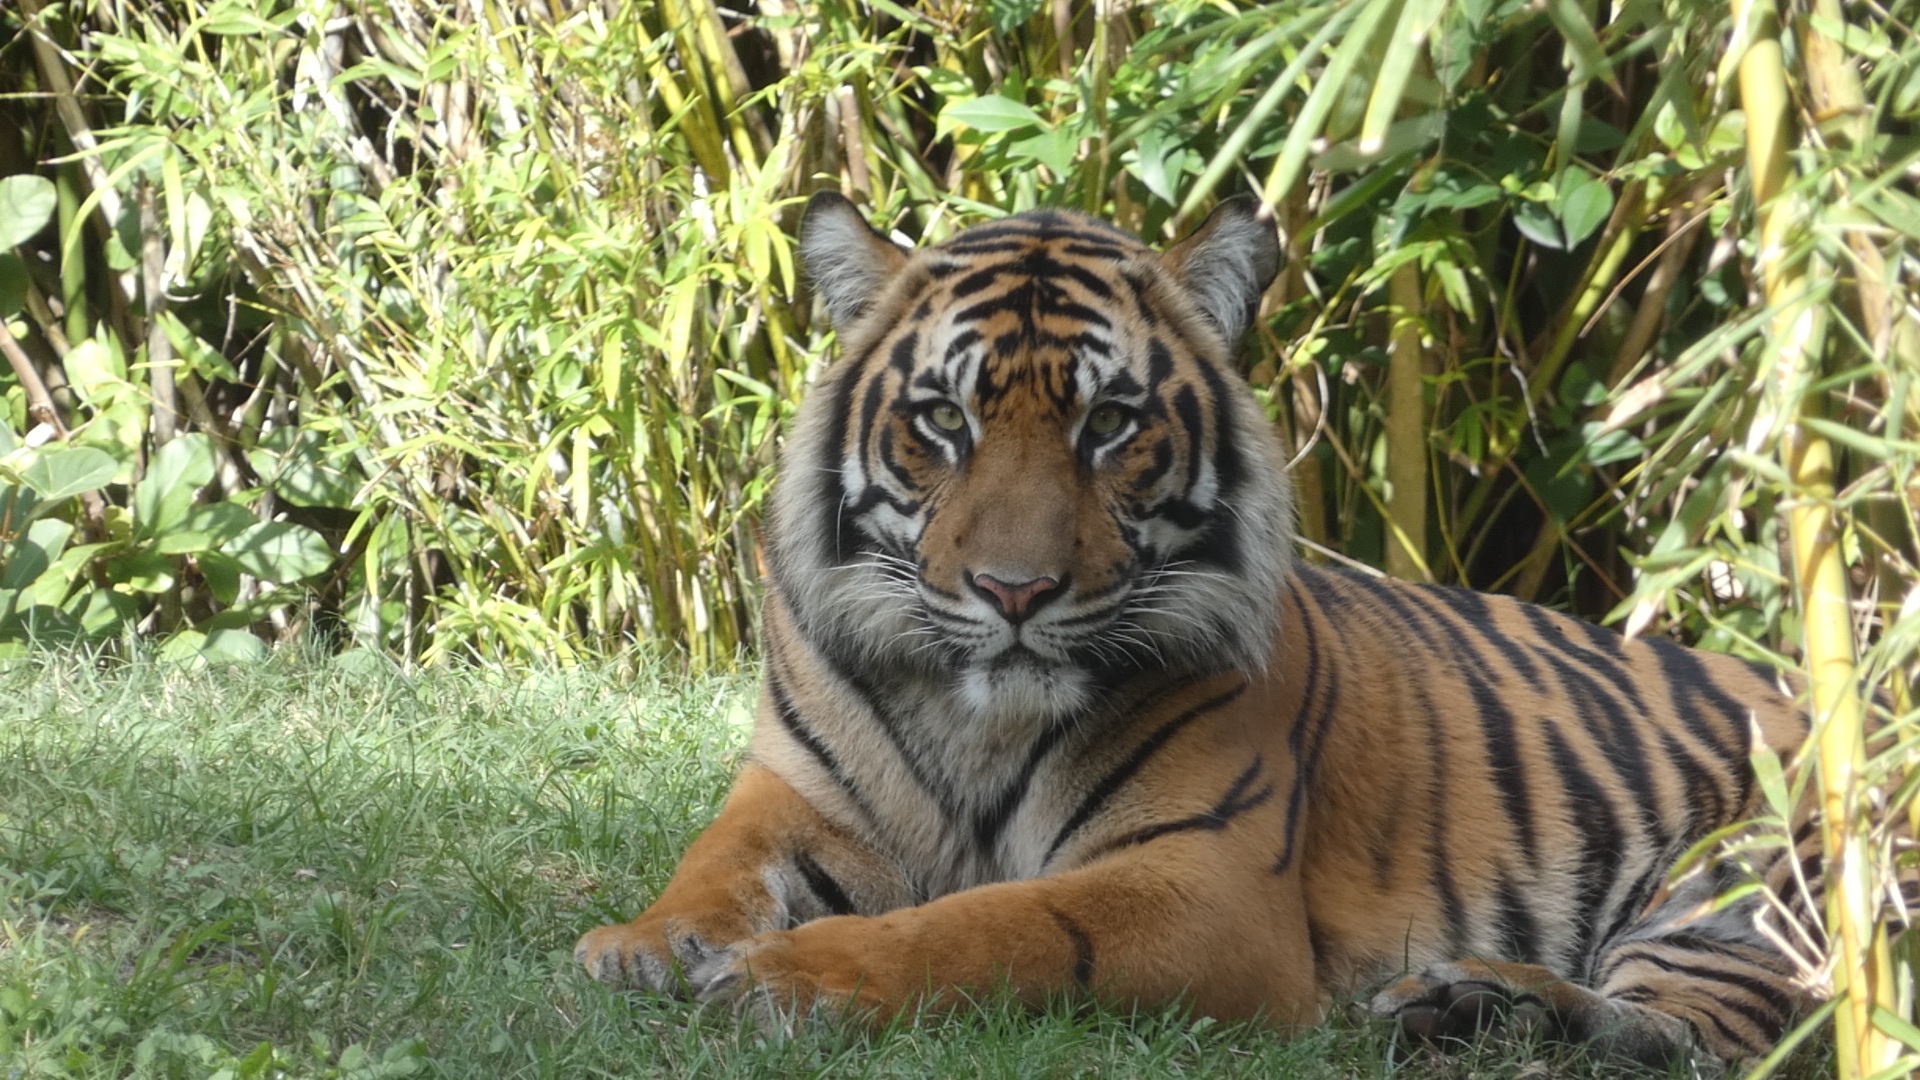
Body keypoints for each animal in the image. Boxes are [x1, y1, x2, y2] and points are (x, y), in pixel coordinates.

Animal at [575, 193, 1821, 1072]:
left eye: (1110, 424)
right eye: (943, 419)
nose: (1014, 592)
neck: (971, 717)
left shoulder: (1205, 881)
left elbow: (992, 922)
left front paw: (790, 975)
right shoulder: (798, 794)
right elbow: (714, 858)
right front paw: (641, 944)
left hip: (1744, 886)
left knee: (1693, 1038)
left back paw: (1475, 1008)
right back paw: (1466, 1006)